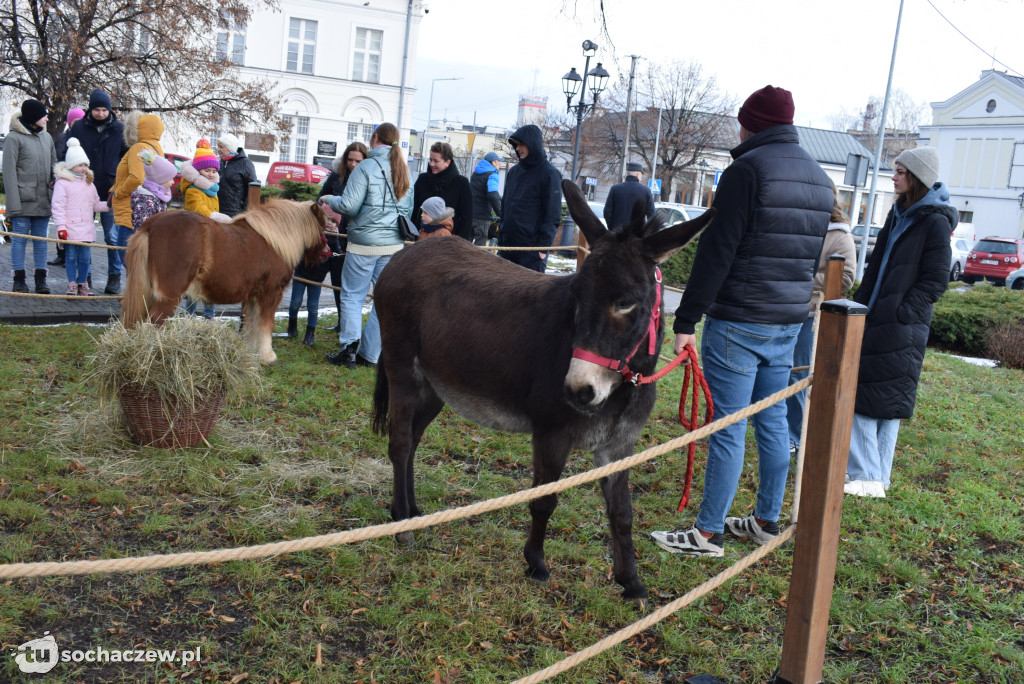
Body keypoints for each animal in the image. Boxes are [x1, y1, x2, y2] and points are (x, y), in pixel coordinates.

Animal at [122, 198, 327, 362]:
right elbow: (265, 325)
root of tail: (151, 225)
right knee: (156, 321)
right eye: (323, 227)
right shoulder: (271, 294)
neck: (274, 242)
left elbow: (251, 324)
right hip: (169, 296)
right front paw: (267, 356)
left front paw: (250, 353)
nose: (326, 254)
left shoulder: (253, 296)